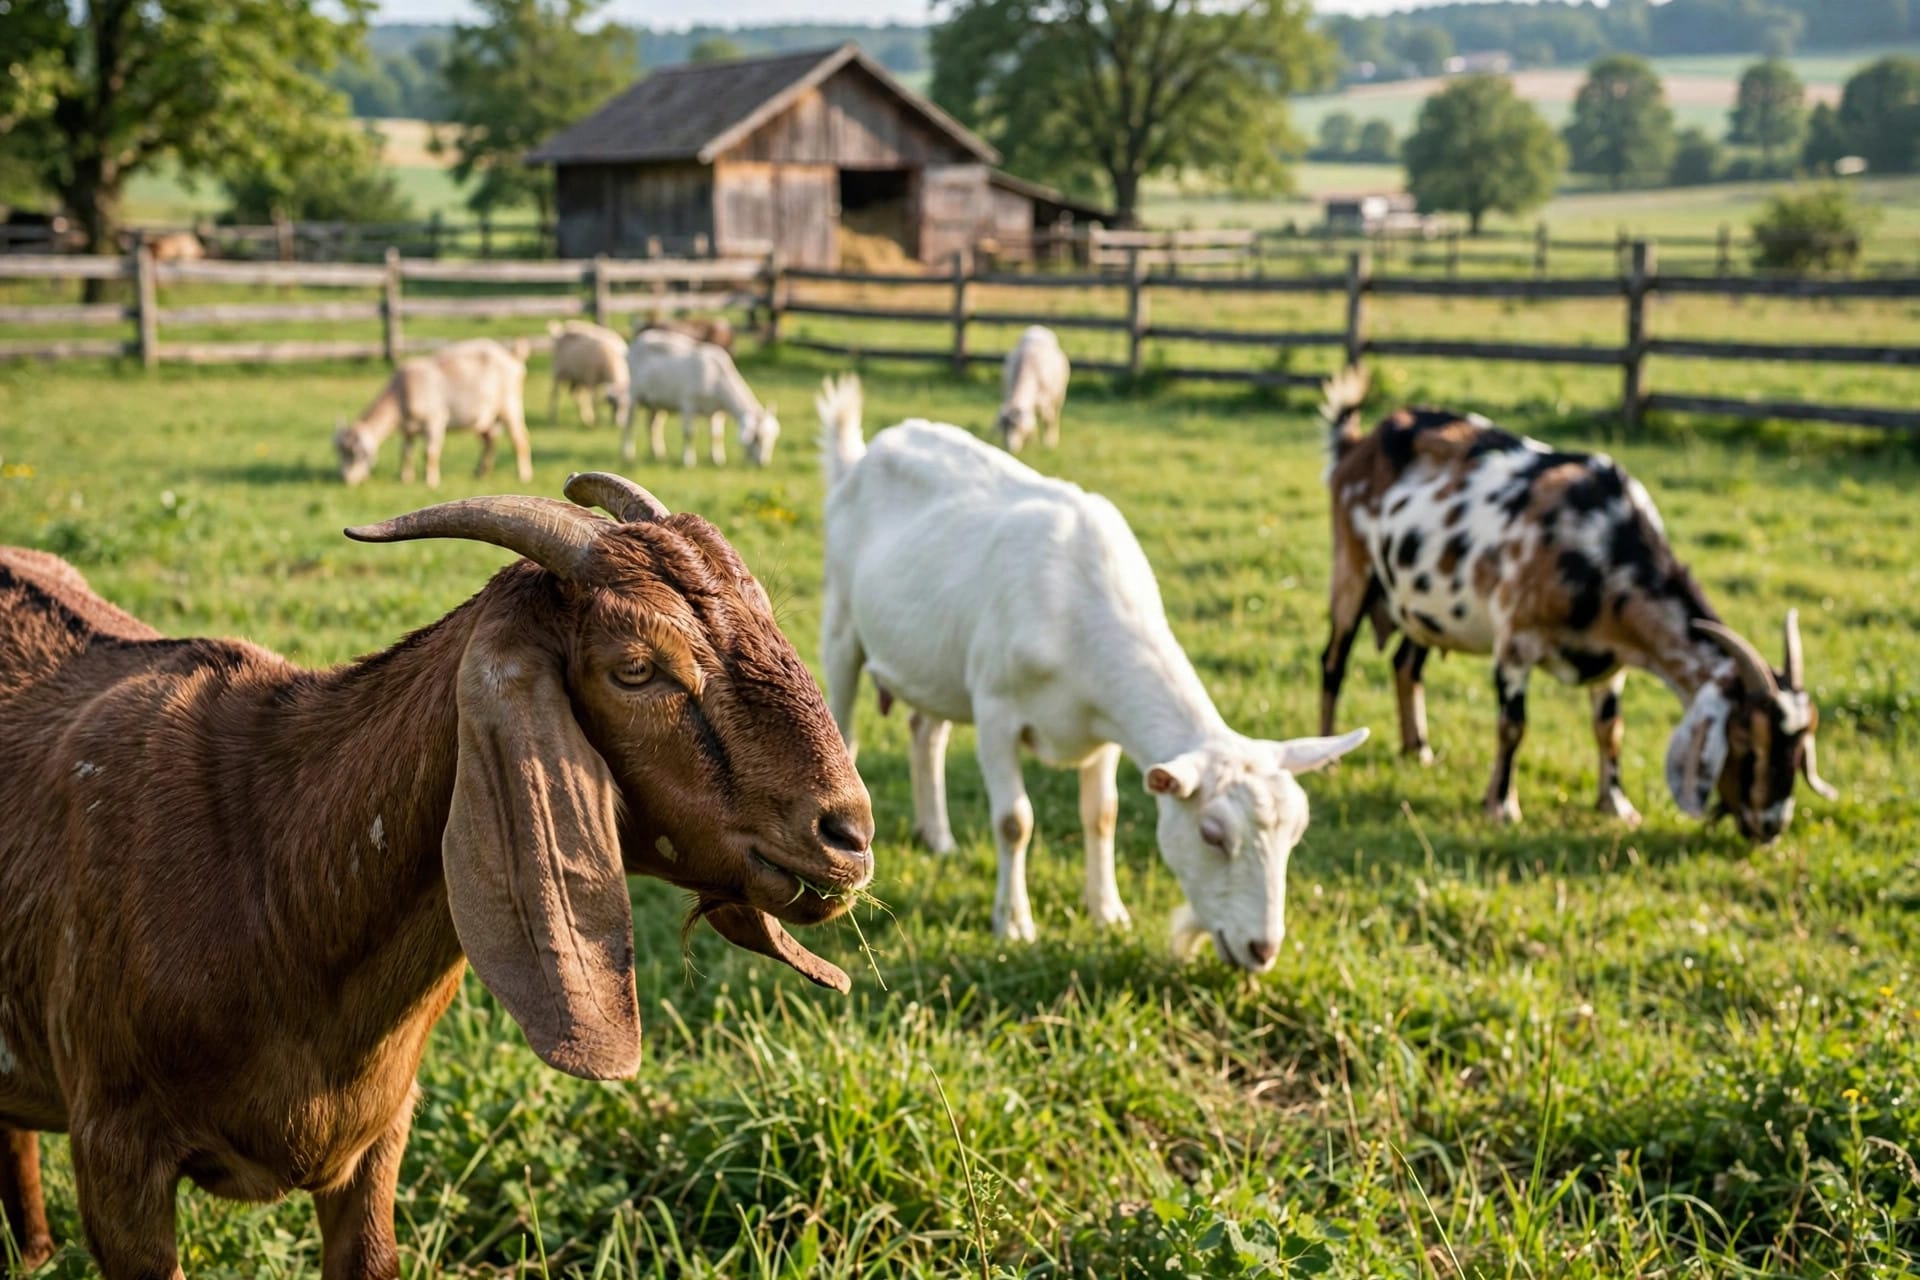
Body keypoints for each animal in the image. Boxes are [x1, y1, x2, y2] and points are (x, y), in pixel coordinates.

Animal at [335, 338, 534, 488]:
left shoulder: (434, 420)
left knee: (519, 439)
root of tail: (512, 355)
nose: (346, 479)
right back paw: (480, 473)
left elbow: (429, 452)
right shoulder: (408, 430)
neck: (401, 392)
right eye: (340, 452)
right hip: (486, 417)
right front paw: (405, 479)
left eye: (356, 454)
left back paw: (523, 475)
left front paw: (430, 481)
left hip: (509, 405)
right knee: (490, 441)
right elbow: (405, 452)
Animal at [624, 329, 779, 468]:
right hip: (633, 392)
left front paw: (717, 460)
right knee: (630, 422)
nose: (762, 463)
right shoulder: (688, 402)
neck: (716, 377)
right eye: (756, 437)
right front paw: (688, 461)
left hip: (656, 402)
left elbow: (716, 435)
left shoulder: (717, 411)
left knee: (653, 425)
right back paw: (628, 454)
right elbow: (689, 433)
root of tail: (638, 340)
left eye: (772, 438)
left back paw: (658, 454)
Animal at [816, 373, 1366, 969]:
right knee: (848, 726)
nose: (1262, 949)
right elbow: (1015, 821)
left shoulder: (1104, 733)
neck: (1078, 609)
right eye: (1212, 834)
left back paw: (938, 838)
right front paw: (1014, 923)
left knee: (925, 732)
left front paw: (1108, 913)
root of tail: (862, 454)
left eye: (1296, 833)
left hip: (935, 658)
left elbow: (1102, 813)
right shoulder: (996, 710)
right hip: (842, 621)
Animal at [995, 326, 1070, 454]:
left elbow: (1047, 420)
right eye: (1003, 429)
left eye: (1017, 427)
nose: (1010, 448)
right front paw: (1032, 441)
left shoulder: (1045, 402)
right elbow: (1032, 420)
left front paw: (1048, 443)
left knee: (1055, 415)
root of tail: (1038, 329)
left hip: (1059, 395)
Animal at [1318, 367, 1835, 841]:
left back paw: (1418, 750)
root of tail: (1359, 443)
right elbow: (1513, 725)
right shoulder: (1515, 642)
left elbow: (1611, 728)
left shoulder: (1613, 662)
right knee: (1334, 660)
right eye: (1745, 738)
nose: (1770, 827)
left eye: (1802, 744)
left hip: (1424, 604)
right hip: (1352, 566)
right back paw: (1327, 759)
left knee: (1407, 664)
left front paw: (1617, 804)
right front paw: (1502, 804)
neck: (1598, 545)